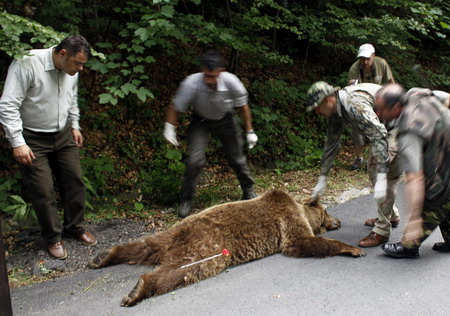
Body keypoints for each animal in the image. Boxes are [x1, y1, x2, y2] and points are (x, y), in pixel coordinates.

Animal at [87, 190, 362, 306]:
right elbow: (299, 243)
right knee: (184, 270)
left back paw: (103, 256)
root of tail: (182, 237)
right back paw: (137, 290)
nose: (338, 220)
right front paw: (352, 248)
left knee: (146, 245)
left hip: (170, 234)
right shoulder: (288, 221)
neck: (301, 209)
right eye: (328, 211)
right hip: (209, 248)